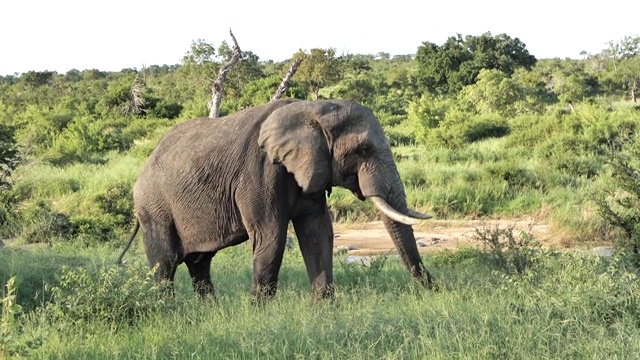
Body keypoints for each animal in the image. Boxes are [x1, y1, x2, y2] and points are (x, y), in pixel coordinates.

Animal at [117, 97, 432, 300]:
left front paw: (325, 309)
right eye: (363, 150)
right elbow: (271, 236)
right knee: (165, 263)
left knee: (199, 263)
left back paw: (209, 311)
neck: (313, 110)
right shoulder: (259, 172)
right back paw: (168, 310)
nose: (433, 289)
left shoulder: (310, 171)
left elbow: (318, 233)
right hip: (154, 208)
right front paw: (259, 314)